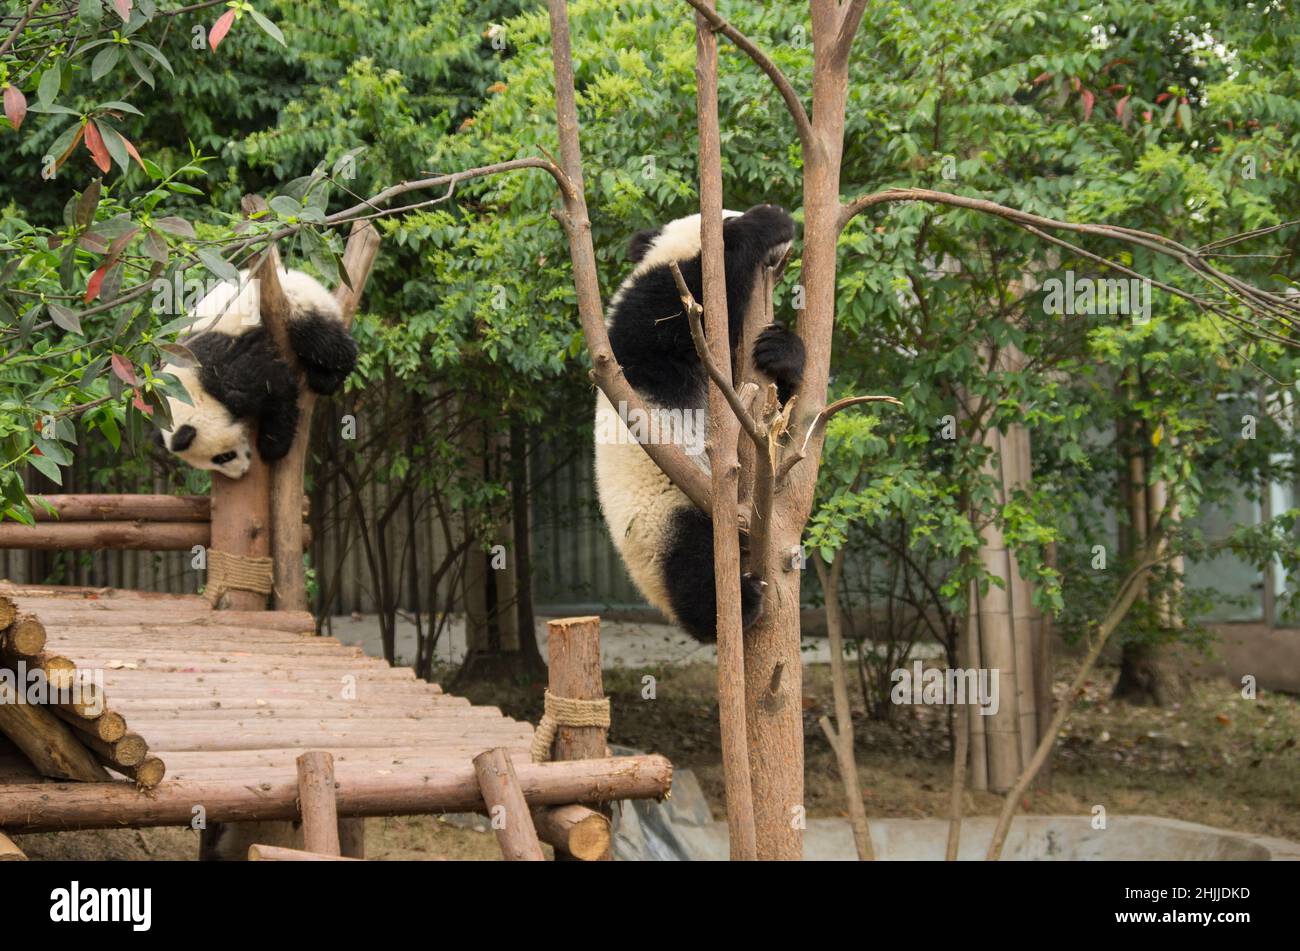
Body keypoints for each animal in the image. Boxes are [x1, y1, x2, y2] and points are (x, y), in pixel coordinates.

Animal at [159, 267, 358, 478]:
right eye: (215, 462)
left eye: (222, 457)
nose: (241, 473)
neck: (189, 388)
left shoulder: (221, 367)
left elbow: (276, 387)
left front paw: (272, 448)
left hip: (298, 303)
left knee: (322, 341)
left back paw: (326, 378)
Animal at [595, 203, 800, 641]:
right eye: (726, 214)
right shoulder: (643, 323)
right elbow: (687, 306)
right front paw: (769, 221)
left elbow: (776, 415)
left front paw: (782, 350)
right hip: (664, 517)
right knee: (691, 565)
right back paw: (737, 604)